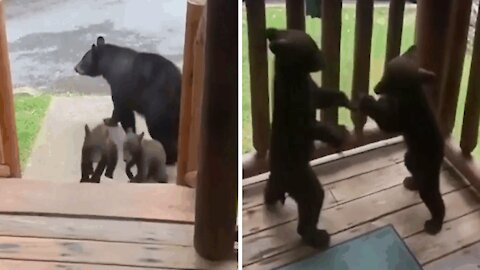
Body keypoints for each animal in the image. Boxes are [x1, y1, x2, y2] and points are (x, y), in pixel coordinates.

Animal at [74, 35, 181, 165]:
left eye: (84, 59)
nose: (75, 68)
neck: (110, 64)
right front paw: (109, 120)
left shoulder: (121, 86)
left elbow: (124, 111)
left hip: (159, 104)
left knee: (160, 129)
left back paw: (169, 158)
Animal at [264, 28, 350, 249]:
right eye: (311, 48)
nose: (323, 57)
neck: (294, 74)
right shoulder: (298, 108)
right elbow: (312, 127)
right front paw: (338, 135)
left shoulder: (312, 90)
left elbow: (322, 96)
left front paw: (344, 98)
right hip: (300, 178)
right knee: (312, 199)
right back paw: (315, 236)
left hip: (282, 178)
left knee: (272, 189)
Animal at [358, 44, 444, 234]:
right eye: (384, 73)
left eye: (390, 80)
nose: (375, 88)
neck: (410, 93)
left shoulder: (403, 116)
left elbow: (387, 123)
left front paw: (367, 101)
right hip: (411, 159)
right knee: (415, 173)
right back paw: (412, 182)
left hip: (425, 170)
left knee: (434, 198)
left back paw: (435, 223)